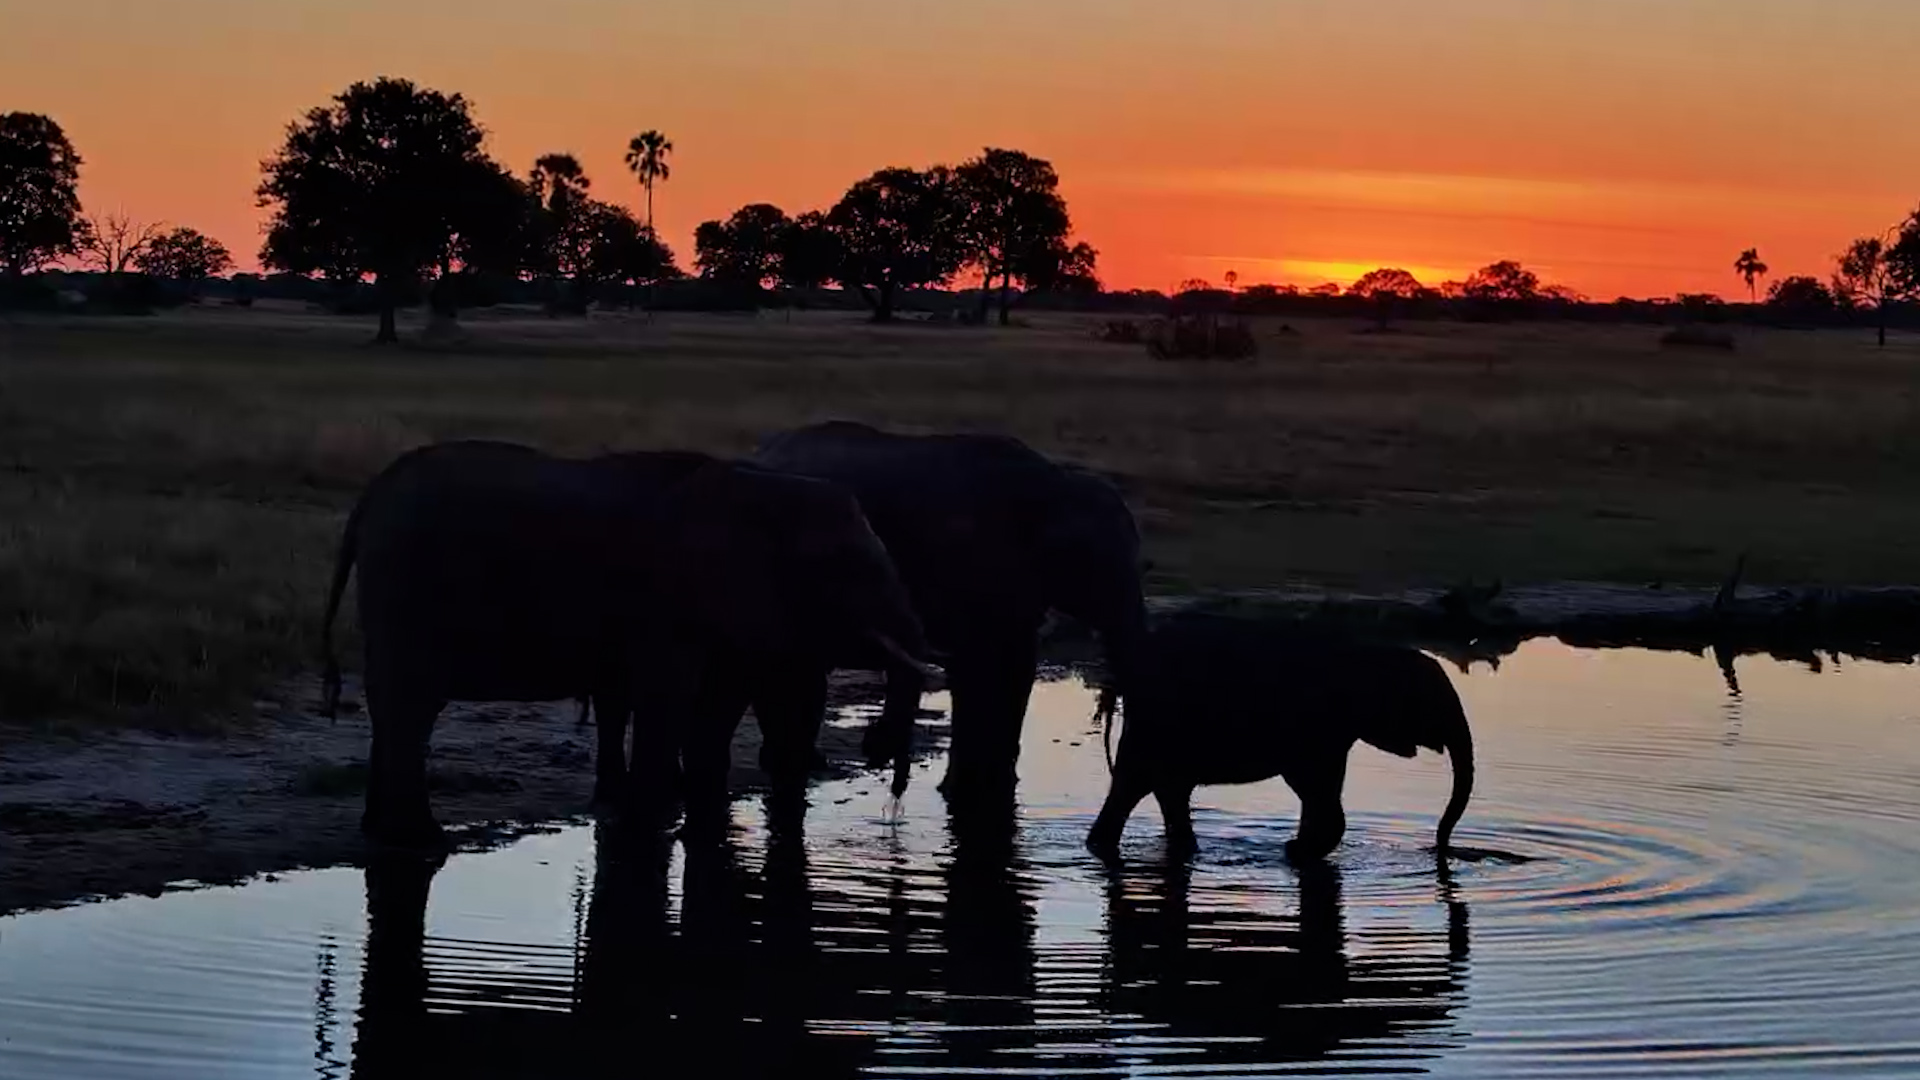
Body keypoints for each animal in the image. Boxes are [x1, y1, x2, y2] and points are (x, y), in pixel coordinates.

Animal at [319, 439, 935, 847]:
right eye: (848, 566)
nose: (894, 807)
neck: (757, 487)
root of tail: (367, 503)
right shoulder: (671, 600)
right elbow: (668, 696)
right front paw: (654, 820)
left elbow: (687, 699)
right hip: (411, 587)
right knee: (412, 706)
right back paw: (423, 840)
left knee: (392, 705)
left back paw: (385, 832)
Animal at [747, 420, 1150, 805]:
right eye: (1100, 569)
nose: (873, 744)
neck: (1055, 485)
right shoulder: (971, 563)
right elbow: (976, 668)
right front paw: (961, 794)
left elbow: (1017, 667)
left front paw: (990, 794)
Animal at [1085, 614, 1475, 864]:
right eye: (1431, 702)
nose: (1440, 848)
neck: (1371, 653)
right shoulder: (1316, 723)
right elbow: (1312, 787)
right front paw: (1296, 851)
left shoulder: (1335, 731)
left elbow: (1322, 792)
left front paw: (1297, 849)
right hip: (1158, 725)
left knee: (1151, 790)